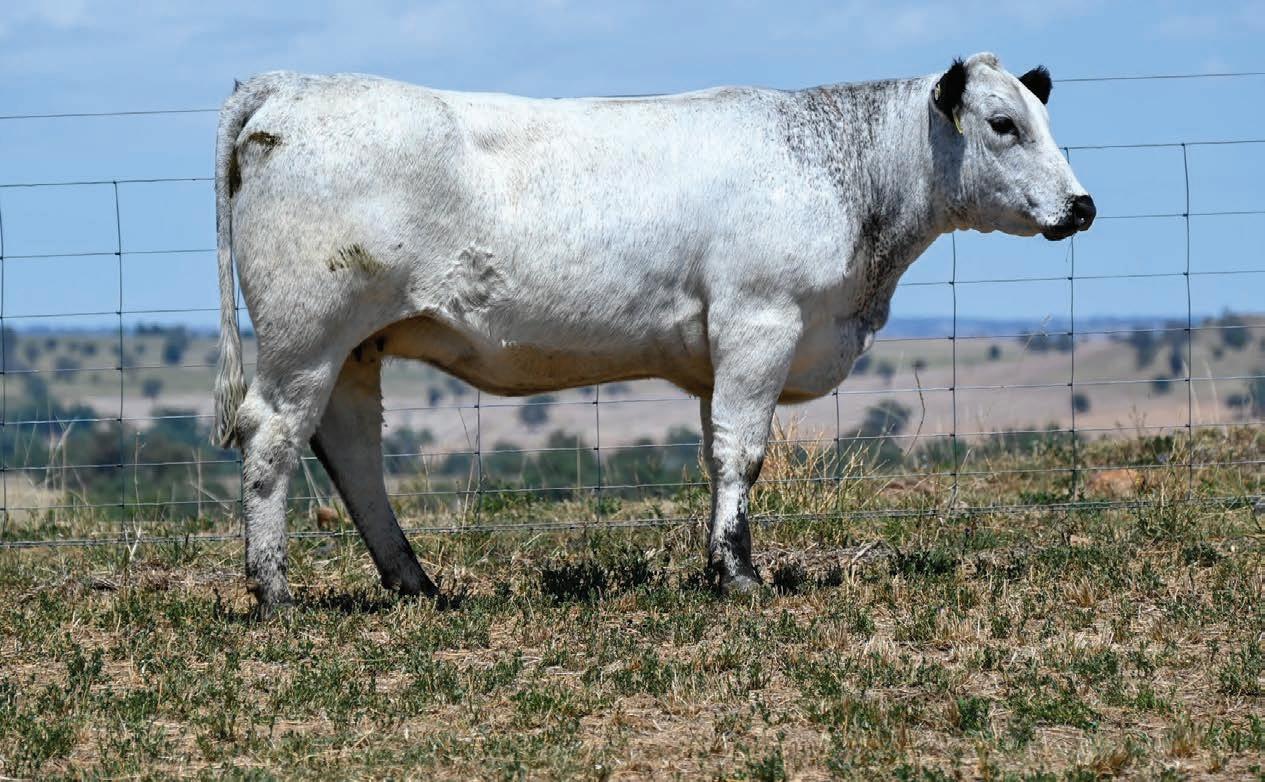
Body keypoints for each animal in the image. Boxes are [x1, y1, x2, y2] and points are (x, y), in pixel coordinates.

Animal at [213, 52, 1095, 614]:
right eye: (1002, 123)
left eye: (1045, 119)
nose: (1081, 206)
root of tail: (294, 85)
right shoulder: (759, 322)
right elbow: (742, 452)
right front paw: (739, 576)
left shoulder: (719, 353)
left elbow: (715, 454)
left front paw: (717, 564)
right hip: (308, 333)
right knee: (272, 435)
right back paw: (274, 593)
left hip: (353, 346)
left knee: (351, 449)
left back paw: (414, 584)